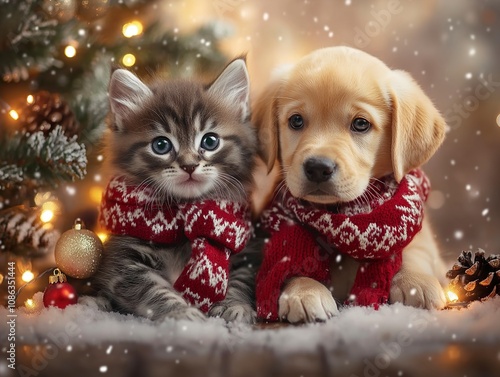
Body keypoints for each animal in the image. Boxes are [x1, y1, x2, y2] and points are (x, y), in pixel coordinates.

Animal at [92, 58, 260, 320]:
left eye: (210, 141)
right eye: (161, 145)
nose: (189, 165)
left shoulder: (246, 248)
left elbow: (241, 280)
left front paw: (235, 305)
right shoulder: (122, 261)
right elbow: (152, 290)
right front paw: (182, 313)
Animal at [254, 46, 450, 324]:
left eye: (361, 123)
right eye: (296, 121)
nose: (318, 167)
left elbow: (415, 248)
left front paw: (415, 281)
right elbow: (289, 260)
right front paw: (304, 291)